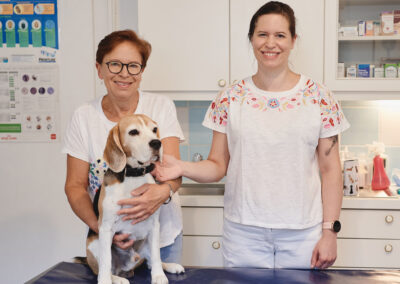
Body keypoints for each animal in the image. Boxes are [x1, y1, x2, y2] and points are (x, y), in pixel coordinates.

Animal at [86, 113, 184, 284]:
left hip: (146, 244)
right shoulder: (105, 228)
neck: (133, 175)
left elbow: (157, 256)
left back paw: (170, 266)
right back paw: (116, 279)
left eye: (154, 129)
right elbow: (105, 261)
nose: (157, 143)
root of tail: (126, 268)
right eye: (133, 132)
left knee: (152, 261)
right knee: (102, 268)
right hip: (94, 244)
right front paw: (105, 280)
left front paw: (159, 276)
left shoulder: (154, 225)